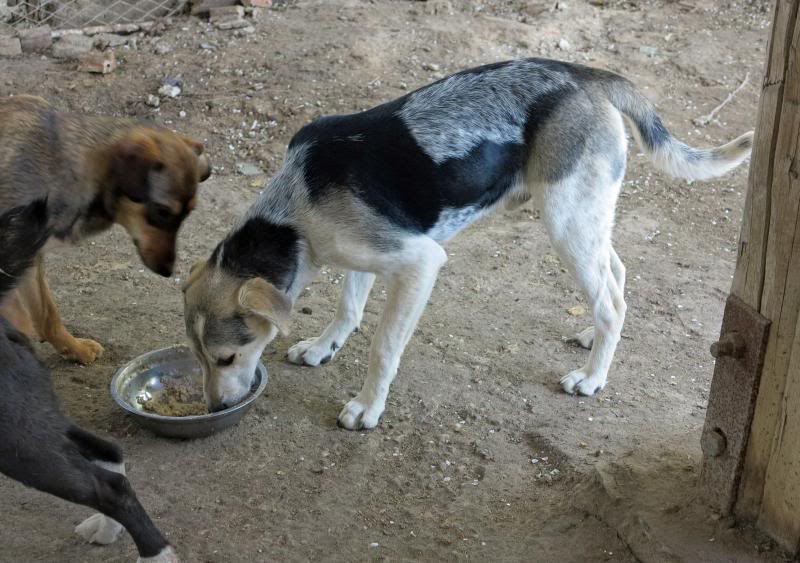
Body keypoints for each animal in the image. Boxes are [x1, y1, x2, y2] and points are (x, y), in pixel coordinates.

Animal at [0, 94, 212, 364]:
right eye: (162, 212)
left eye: (189, 213)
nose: (168, 271)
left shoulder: (29, 258)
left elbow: (47, 313)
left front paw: (75, 349)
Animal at [0, 200, 177, 560]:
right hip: (34, 415)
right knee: (107, 451)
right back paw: (107, 529)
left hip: (17, 440)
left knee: (110, 488)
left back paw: (156, 555)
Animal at [184, 59, 752, 432]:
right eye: (198, 357)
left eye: (228, 358)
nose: (212, 410)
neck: (293, 215)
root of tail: (585, 74)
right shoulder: (361, 255)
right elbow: (347, 309)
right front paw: (323, 347)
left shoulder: (418, 263)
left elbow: (383, 347)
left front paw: (367, 407)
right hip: (586, 219)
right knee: (617, 278)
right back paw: (596, 339)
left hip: (566, 221)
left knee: (610, 301)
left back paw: (593, 378)